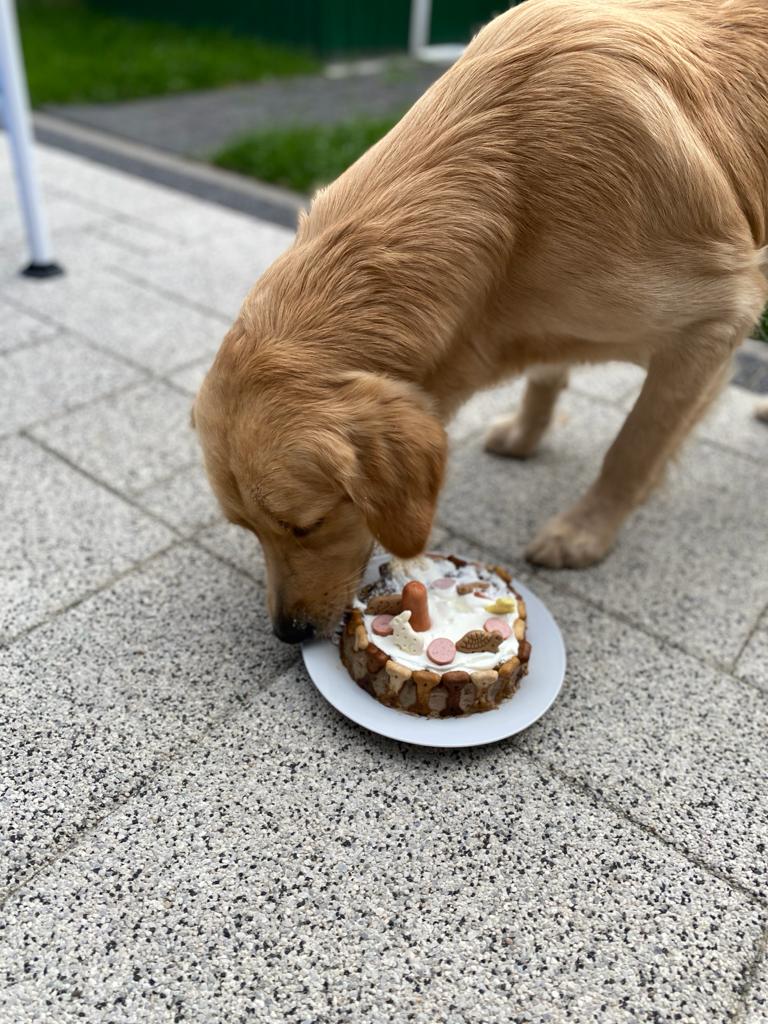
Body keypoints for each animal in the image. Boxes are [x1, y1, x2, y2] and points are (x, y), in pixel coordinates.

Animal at [192, 0, 768, 638]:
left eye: (307, 524)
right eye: (246, 528)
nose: (288, 631)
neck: (517, 190)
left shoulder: (713, 323)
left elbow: (633, 448)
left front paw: (585, 531)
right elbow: (547, 375)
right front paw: (526, 434)